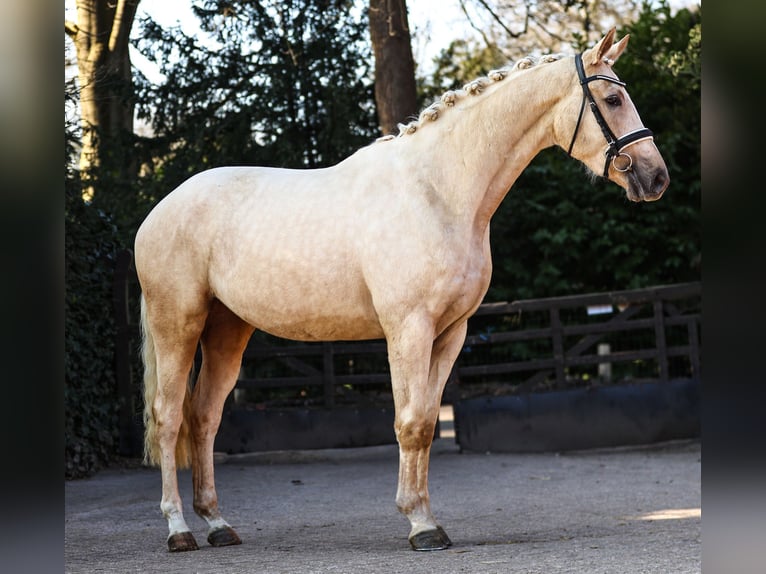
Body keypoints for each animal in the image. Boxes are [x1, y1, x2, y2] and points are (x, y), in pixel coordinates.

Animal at [138, 28, 672, 552]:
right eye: (612, 98)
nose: (656, 177)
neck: (438, 192)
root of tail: (159, 210)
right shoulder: (408, 329)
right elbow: (410, 422)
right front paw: (420, 525)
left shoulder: (451, 332)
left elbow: (430, 422)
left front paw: (427, 517)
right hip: (177, 325)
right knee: (168, 418)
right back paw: (179, 530)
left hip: (227, 331)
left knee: (204, 417)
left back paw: (217, 524)